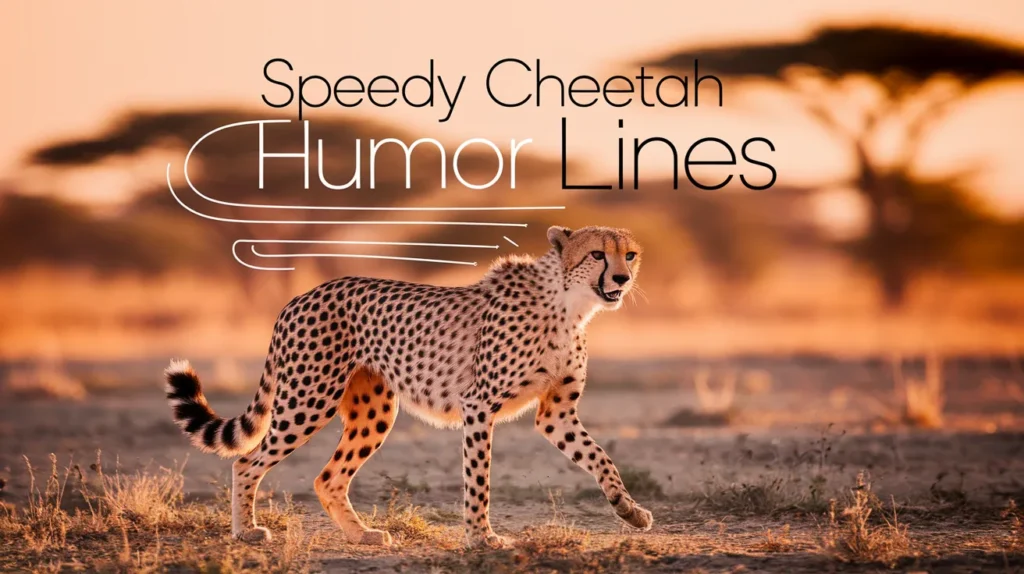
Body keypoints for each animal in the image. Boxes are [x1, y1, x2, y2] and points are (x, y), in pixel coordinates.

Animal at [165, 225, 653, 548]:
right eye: (597, 255)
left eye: (629, 255)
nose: (622, 279)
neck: (570, 305)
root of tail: (301, 295)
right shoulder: (479, 405)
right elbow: (479, 479)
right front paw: (481, 538)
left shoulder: (556, 413)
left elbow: (601, 458)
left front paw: (628, 509)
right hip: (308, 397)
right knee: (246, 461)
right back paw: (245, 531)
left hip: (374, 411)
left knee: (328, 477)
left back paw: (361, 535)